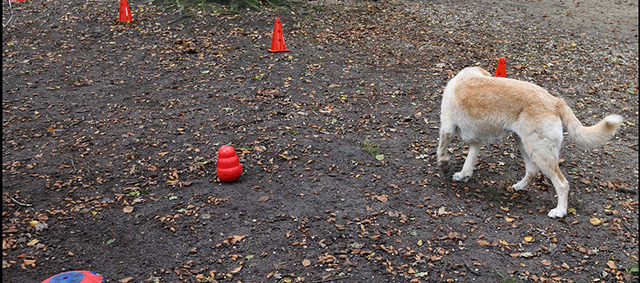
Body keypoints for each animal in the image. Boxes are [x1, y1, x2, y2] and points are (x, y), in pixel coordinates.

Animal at [438, 67, 624, 220]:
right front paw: (463, 175)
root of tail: (555, 101)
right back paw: (519, 186)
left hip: (540, 153)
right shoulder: (476, 142)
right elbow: (468, 162)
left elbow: (441, 149)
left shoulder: (447, 129)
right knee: (532, 171)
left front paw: (444, 164)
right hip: (524, 143)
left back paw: (560, 211)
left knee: (562, 184)